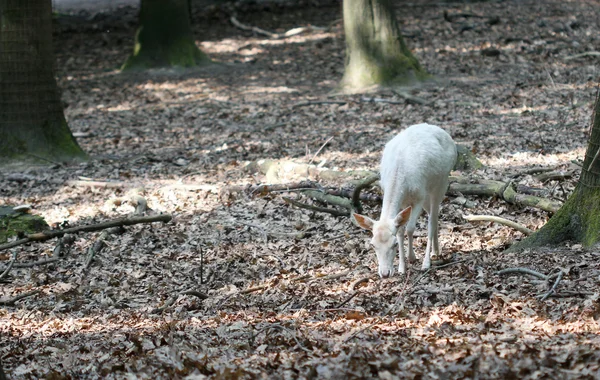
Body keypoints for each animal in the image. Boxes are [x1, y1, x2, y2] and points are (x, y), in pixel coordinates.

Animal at [352, 123, 454, 278]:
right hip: (427, 192)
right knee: (433, 216)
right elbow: (400, 230)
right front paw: (401, 267)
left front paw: (412, 258)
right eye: (373, 245)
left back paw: (427, 262)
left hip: (441, 183)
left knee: (432, 219)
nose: (385, 273)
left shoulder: (418, 197)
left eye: (393, 244)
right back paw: (435, 251)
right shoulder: (402, 202)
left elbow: (410, 228)